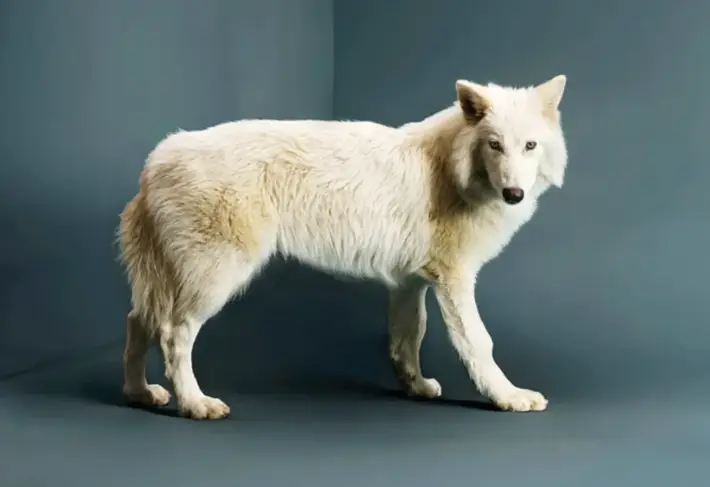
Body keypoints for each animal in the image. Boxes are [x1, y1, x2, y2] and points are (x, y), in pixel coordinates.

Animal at [117, 74, 569, 420]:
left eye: (529, 146)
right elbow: (479, 342)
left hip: (169, 281)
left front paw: (416, 387)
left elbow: (408, 339)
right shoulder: (454, 280)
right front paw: (509, 397)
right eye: (495, 145)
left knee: (137, 321)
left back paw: (140, 394)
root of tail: (156, 160)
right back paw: (195, 404)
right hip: (215, 279)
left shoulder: (409, 284)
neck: (451, 170)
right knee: (173, 334)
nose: (514, 194)